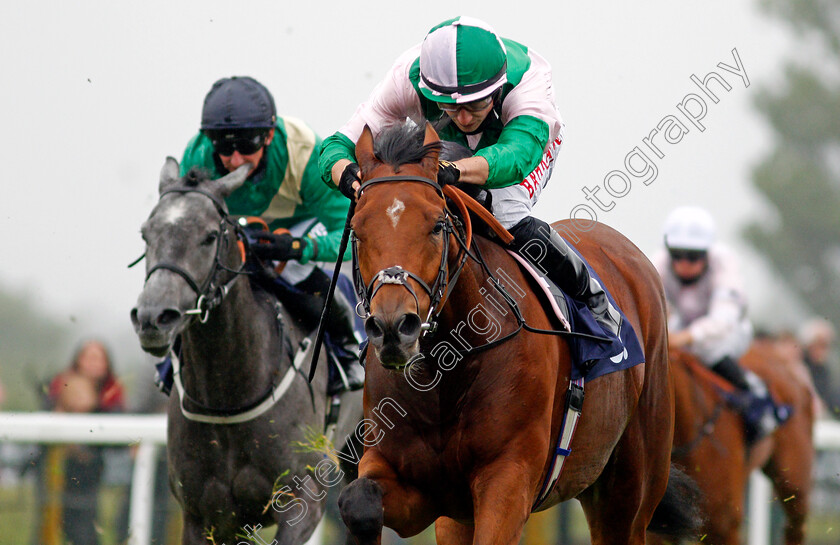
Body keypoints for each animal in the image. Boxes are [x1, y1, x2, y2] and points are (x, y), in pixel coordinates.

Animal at [131, 157, 360, 544]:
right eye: (146, 234)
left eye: (210, 236)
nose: (152, 318)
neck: (228, 394)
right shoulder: (205, 516)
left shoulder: (304, 499)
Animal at [338, 123, 700, 544]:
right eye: (357, 230)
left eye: (437, 225)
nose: (394, 327)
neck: (446, 368)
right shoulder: (421, 487)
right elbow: (360, 502)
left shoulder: (508, 477)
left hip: (629, 491)